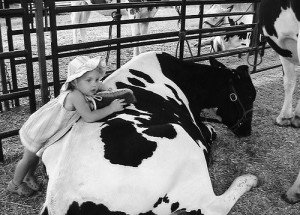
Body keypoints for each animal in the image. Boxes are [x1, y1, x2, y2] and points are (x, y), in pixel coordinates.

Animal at [39, 51, 258, 214]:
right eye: (248, 94)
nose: (247, 131)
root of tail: (58, 202)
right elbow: (211, 131)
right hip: (182, 144)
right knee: (213, 206)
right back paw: (248, 180)